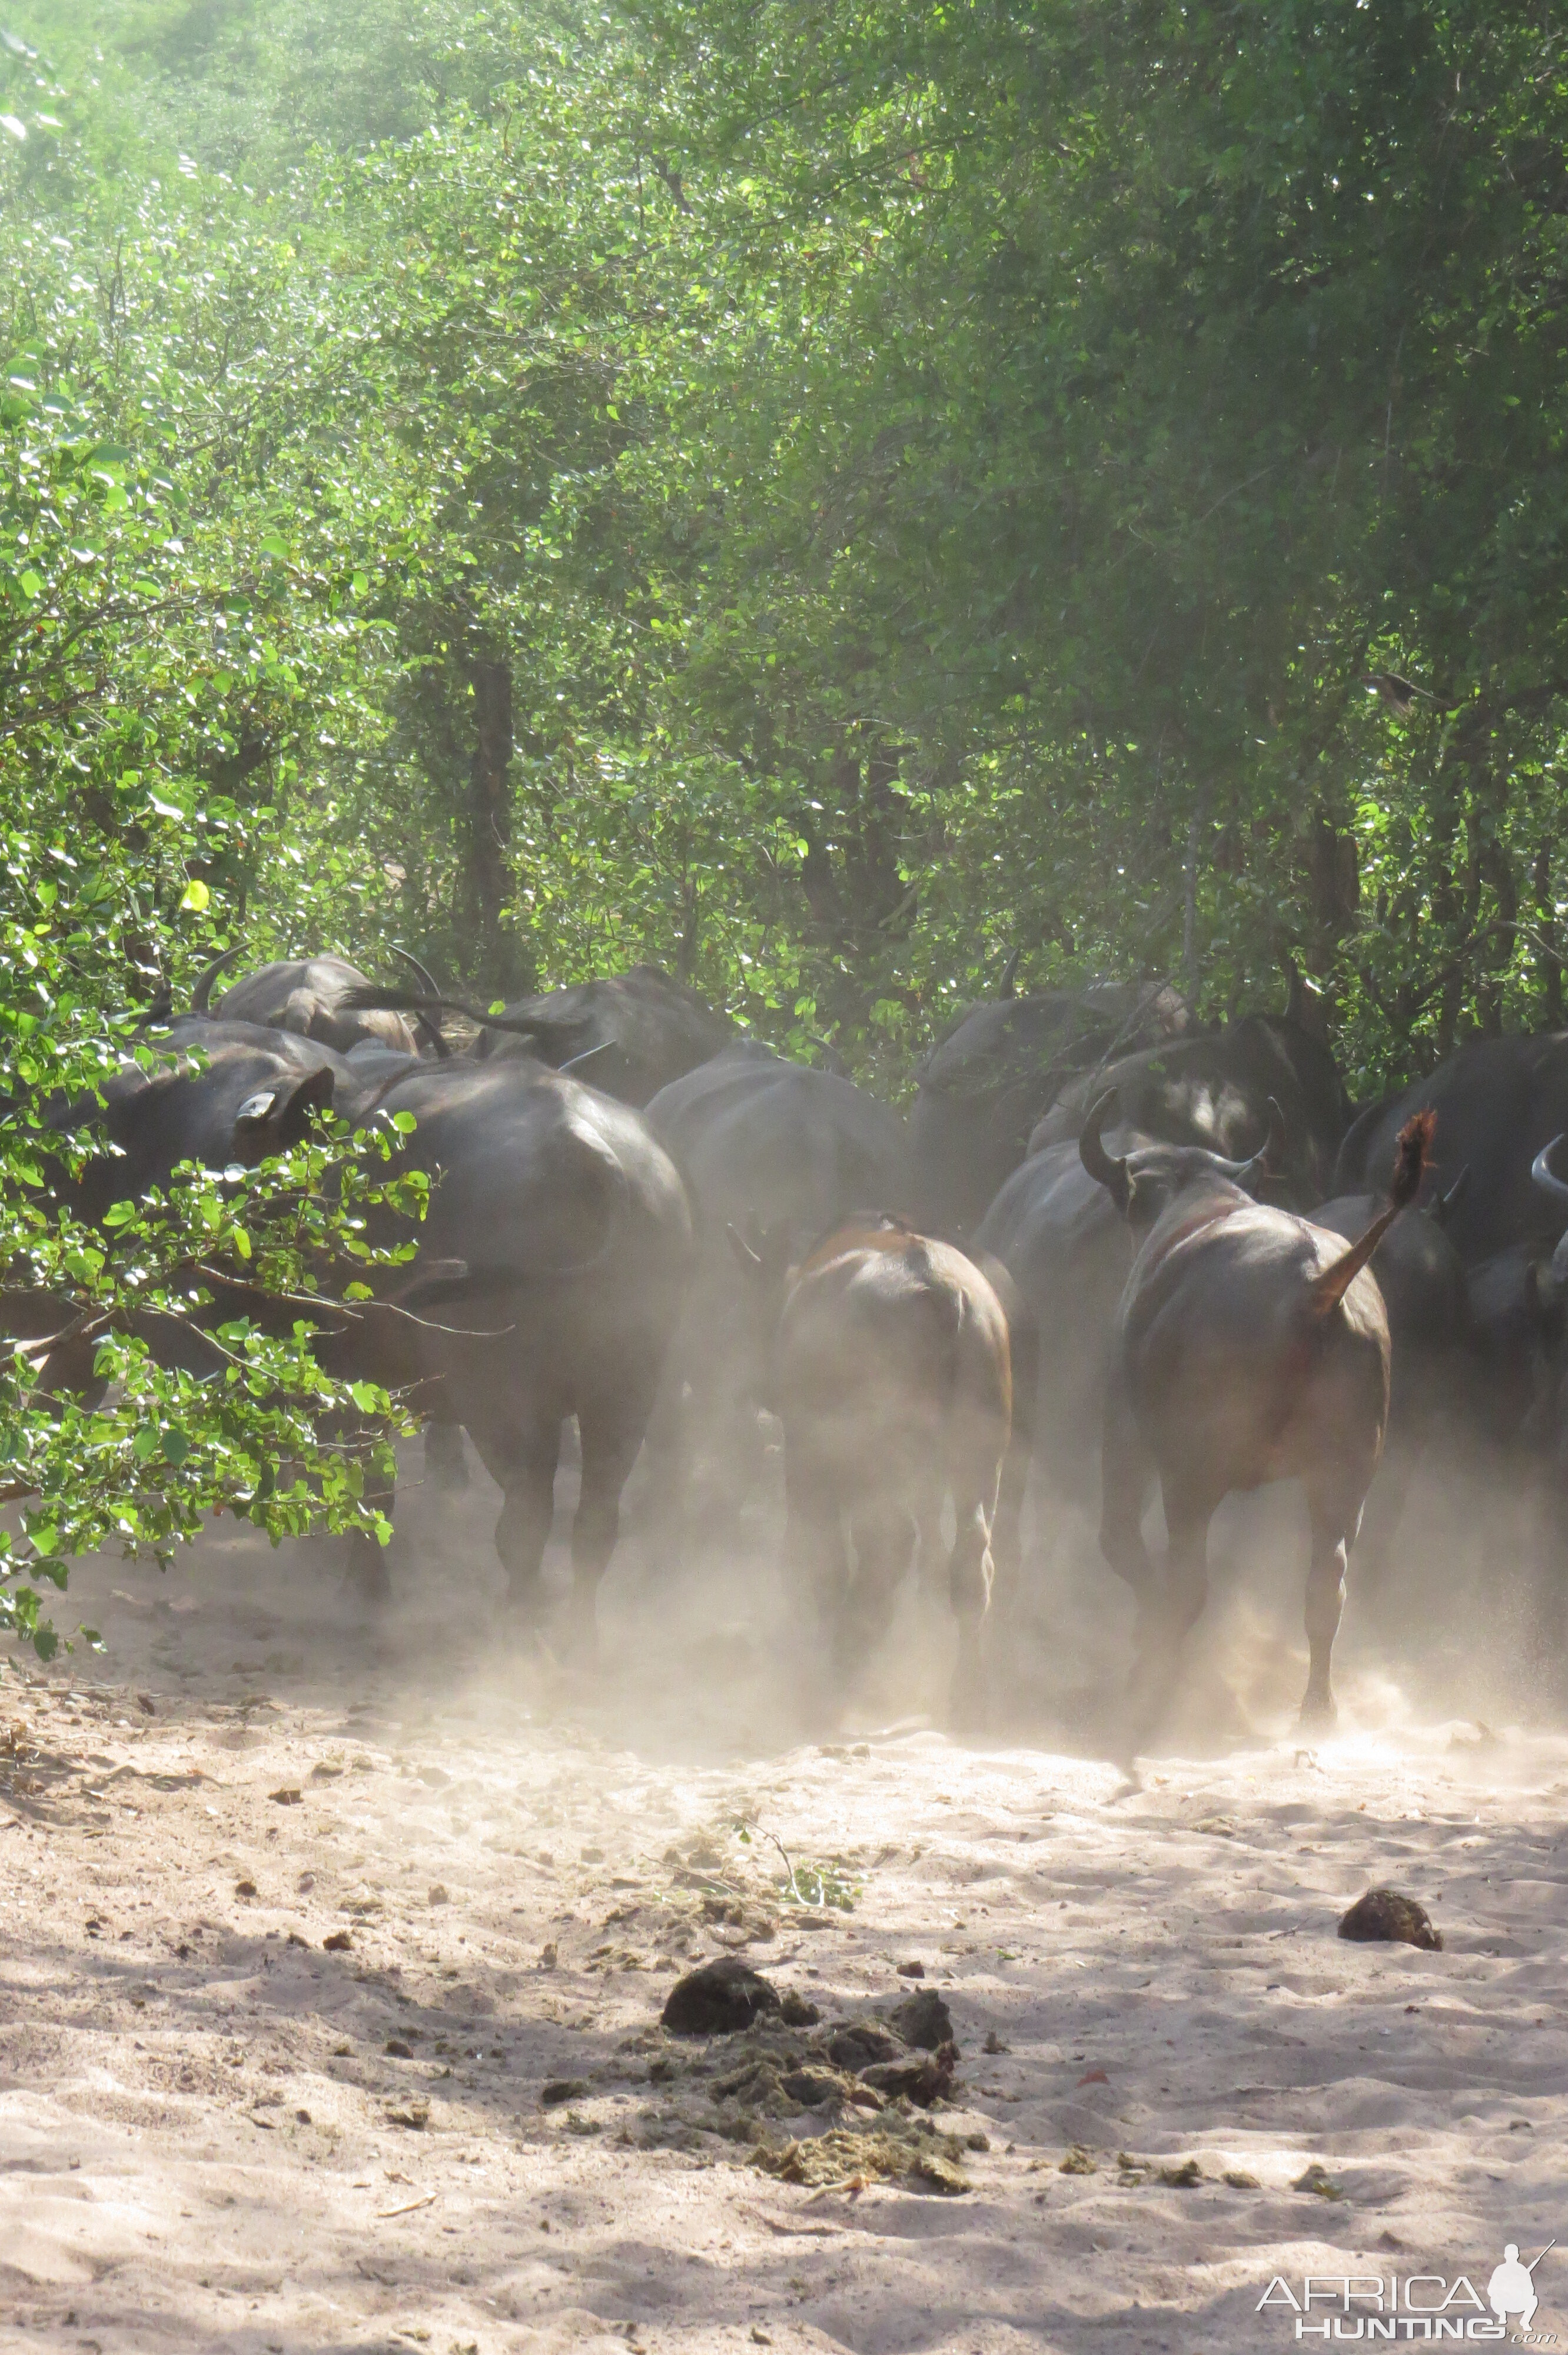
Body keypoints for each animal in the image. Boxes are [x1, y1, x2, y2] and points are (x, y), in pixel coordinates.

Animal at [1083, 1088, 1422, 1733]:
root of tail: (1314, 1285)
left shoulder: (1125, 1433)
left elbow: (1120, 1541)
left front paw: (1144, 1639)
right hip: (1343, 1480)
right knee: (1326, 1587)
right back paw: (1317, 1707)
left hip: (1192, 1475)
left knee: (1187, 1581)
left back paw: (1154, 1677)